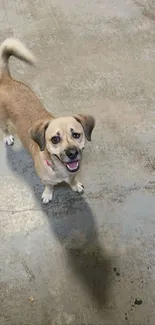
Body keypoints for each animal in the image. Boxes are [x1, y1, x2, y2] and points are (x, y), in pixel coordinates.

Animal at [0, 38, 95, 202]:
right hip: (3, 119)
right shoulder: (46, 179)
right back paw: (7, 137)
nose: (72, 153)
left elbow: (73, 179)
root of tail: (7, 80)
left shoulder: (74, 172)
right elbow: (49, 186)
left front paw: (75, 185)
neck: (60, 168)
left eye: (76, 135)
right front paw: (47, 194)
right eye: (55, 139)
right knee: (4, 129)